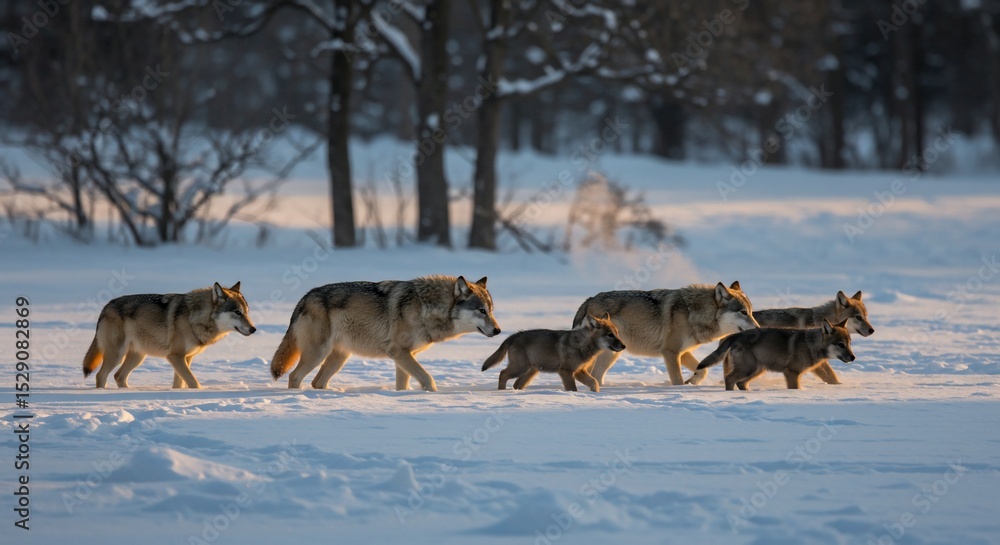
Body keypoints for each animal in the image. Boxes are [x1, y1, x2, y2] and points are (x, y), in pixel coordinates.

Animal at [82, 282, 256, 389]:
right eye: (237, 312)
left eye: (247, 312)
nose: (254, 329)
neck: (194, 317)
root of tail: (105, 306)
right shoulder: (175, 356)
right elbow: (193, 382)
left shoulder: (186, 358)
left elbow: (180, 383)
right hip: (117, 355)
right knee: (100, 376)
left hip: (138, 357)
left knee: (119, 376)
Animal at [270, 276, 501, 391]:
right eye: (481, 310)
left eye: (491, 310)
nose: (498, 330)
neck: (427, 307)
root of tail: (304, 298)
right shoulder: (398, 352)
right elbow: (428, 380)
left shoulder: (405, 356)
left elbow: (403, 385)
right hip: (318, 354)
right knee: (294, 377)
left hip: (339, 357)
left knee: (317, 382)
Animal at [481, 313, 626, 392]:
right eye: (610, 335)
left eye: (617, 333)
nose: (624, 346)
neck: (582, 345)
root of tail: (515, 335)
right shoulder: (566, 372)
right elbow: (573, 388)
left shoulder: (579, 371)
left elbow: (594, 382)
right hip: (520, 368)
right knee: (503, 374)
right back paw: (501, 392)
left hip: (530, 371)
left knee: (516, 383)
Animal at [573, 282, 759, 386]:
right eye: (743, 312)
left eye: (751, 312)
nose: (758, 328)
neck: (693, 313)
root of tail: (588, 300)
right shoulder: (670, 352)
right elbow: (677, 380)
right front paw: (680, 389)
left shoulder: (683, 352)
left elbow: (703, 371)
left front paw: (691, 382)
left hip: (612, 354)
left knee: (596, 376)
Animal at [697, 320, 855, 390]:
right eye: (840, 344)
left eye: (849, 343)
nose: (853, 357)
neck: (810, 344)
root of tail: (736, 335)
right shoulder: (791, 373)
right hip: (748, 368)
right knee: (730, 379)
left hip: (758, 369)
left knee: (740, 383)